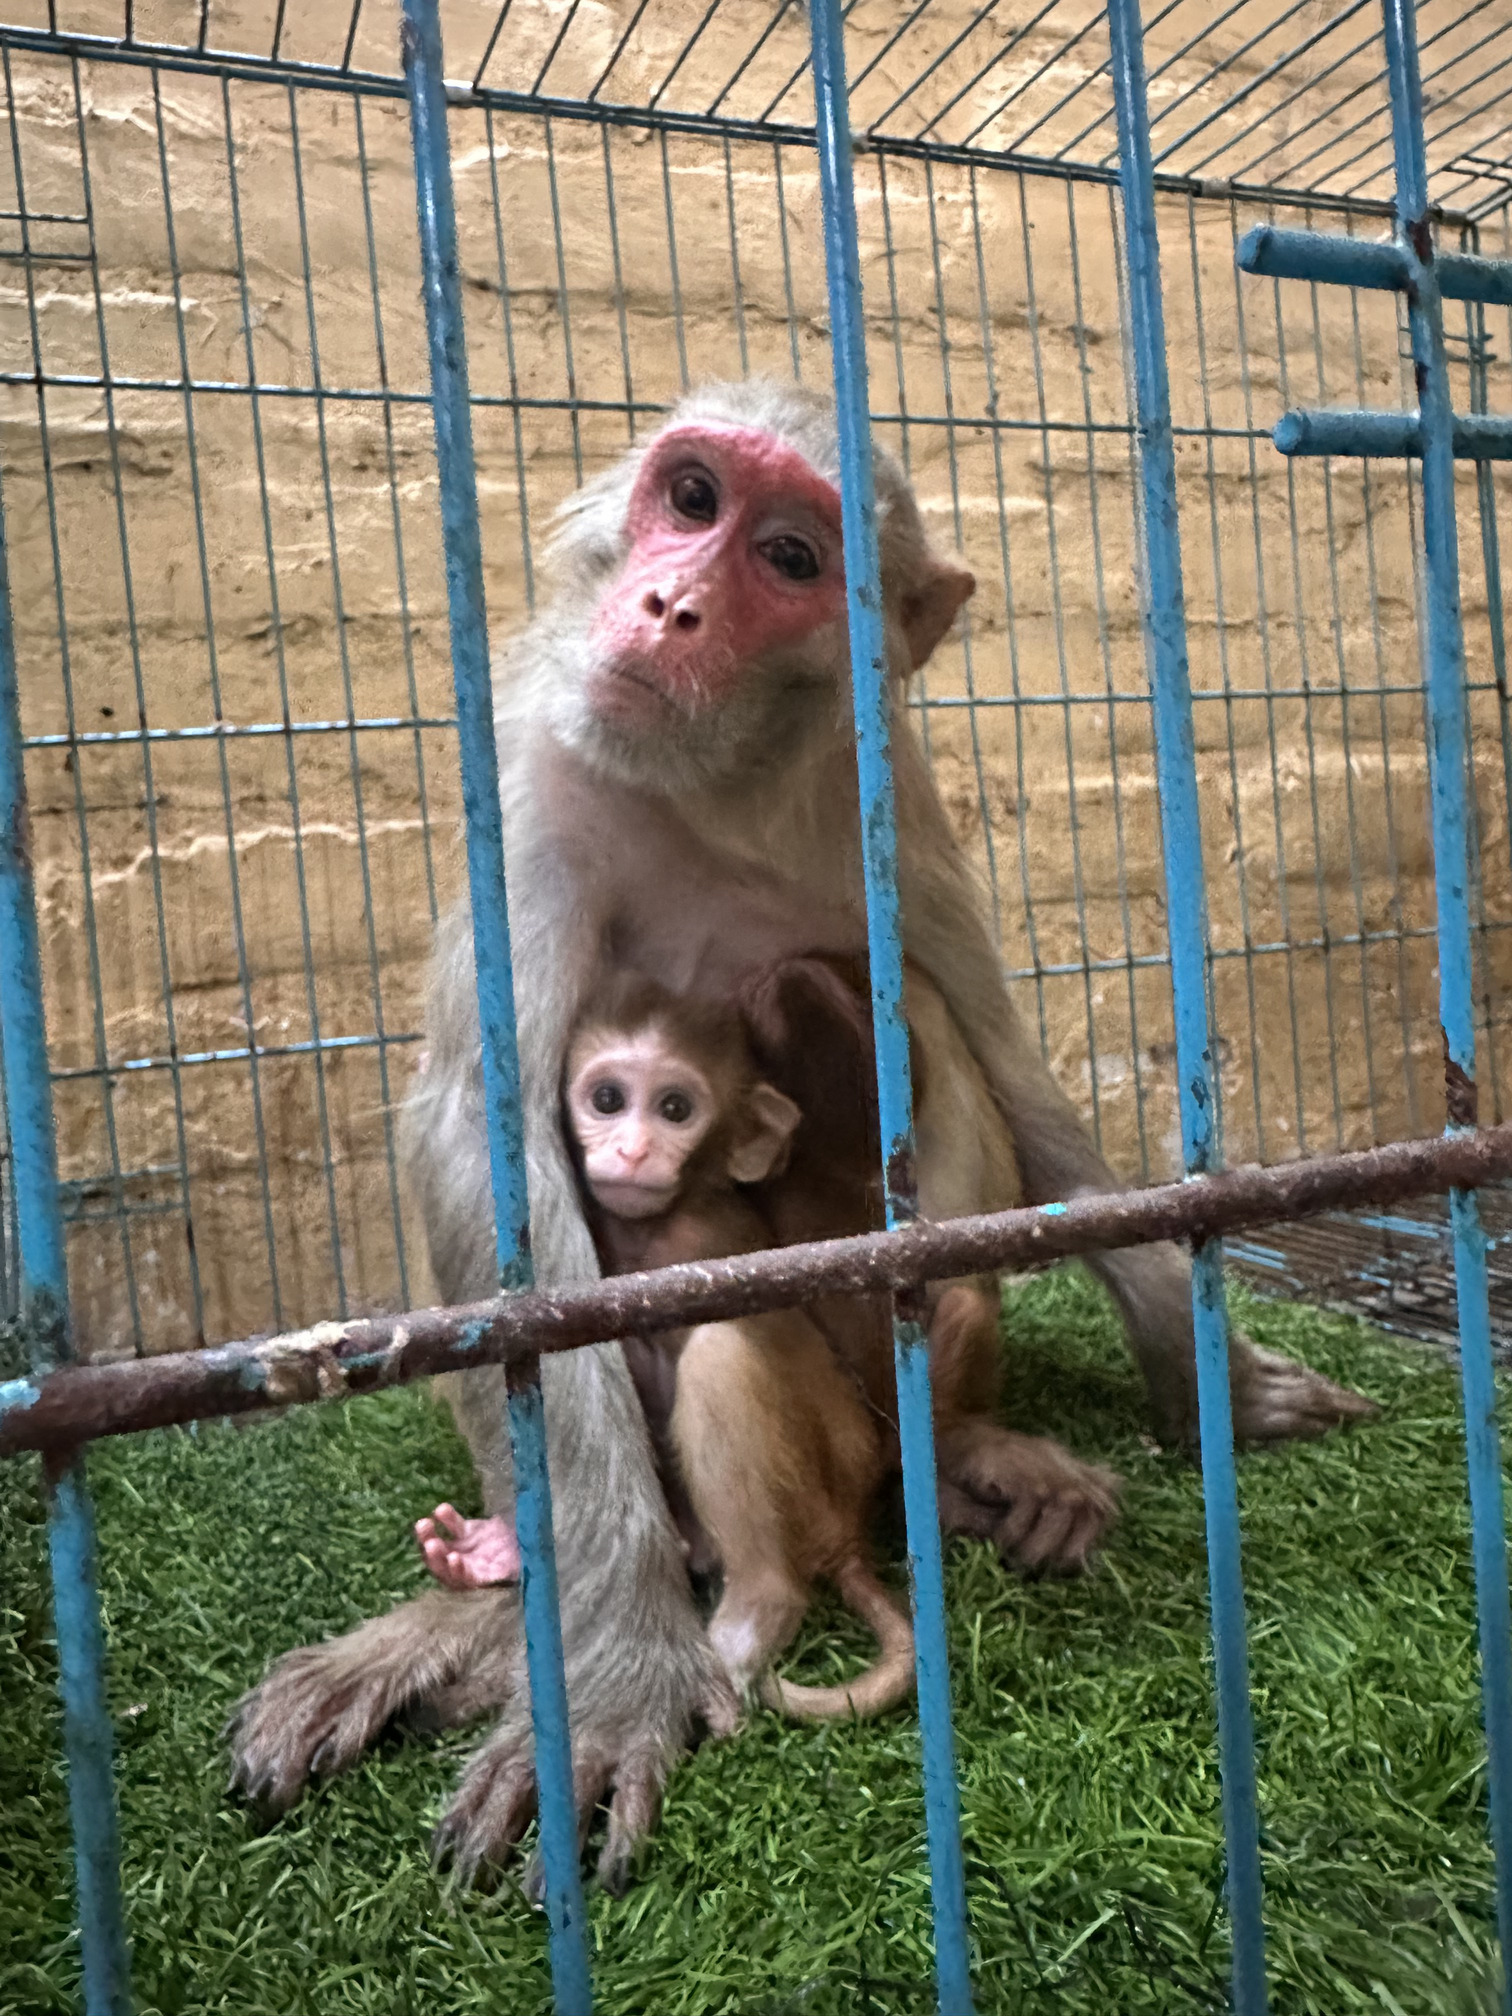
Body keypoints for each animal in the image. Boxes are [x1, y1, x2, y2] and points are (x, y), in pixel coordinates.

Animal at [229, 378, 1375, 1890]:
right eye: (692, 499)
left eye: (788, 560)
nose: (671, 605)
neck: (721, 784)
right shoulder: (542, 793)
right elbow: (490, 1150)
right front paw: (615, 1670)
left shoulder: (893, 807)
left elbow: (1019, 1083)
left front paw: (1215, 1385)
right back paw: (514, 1604)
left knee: (913, 1047)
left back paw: (967, 1466)